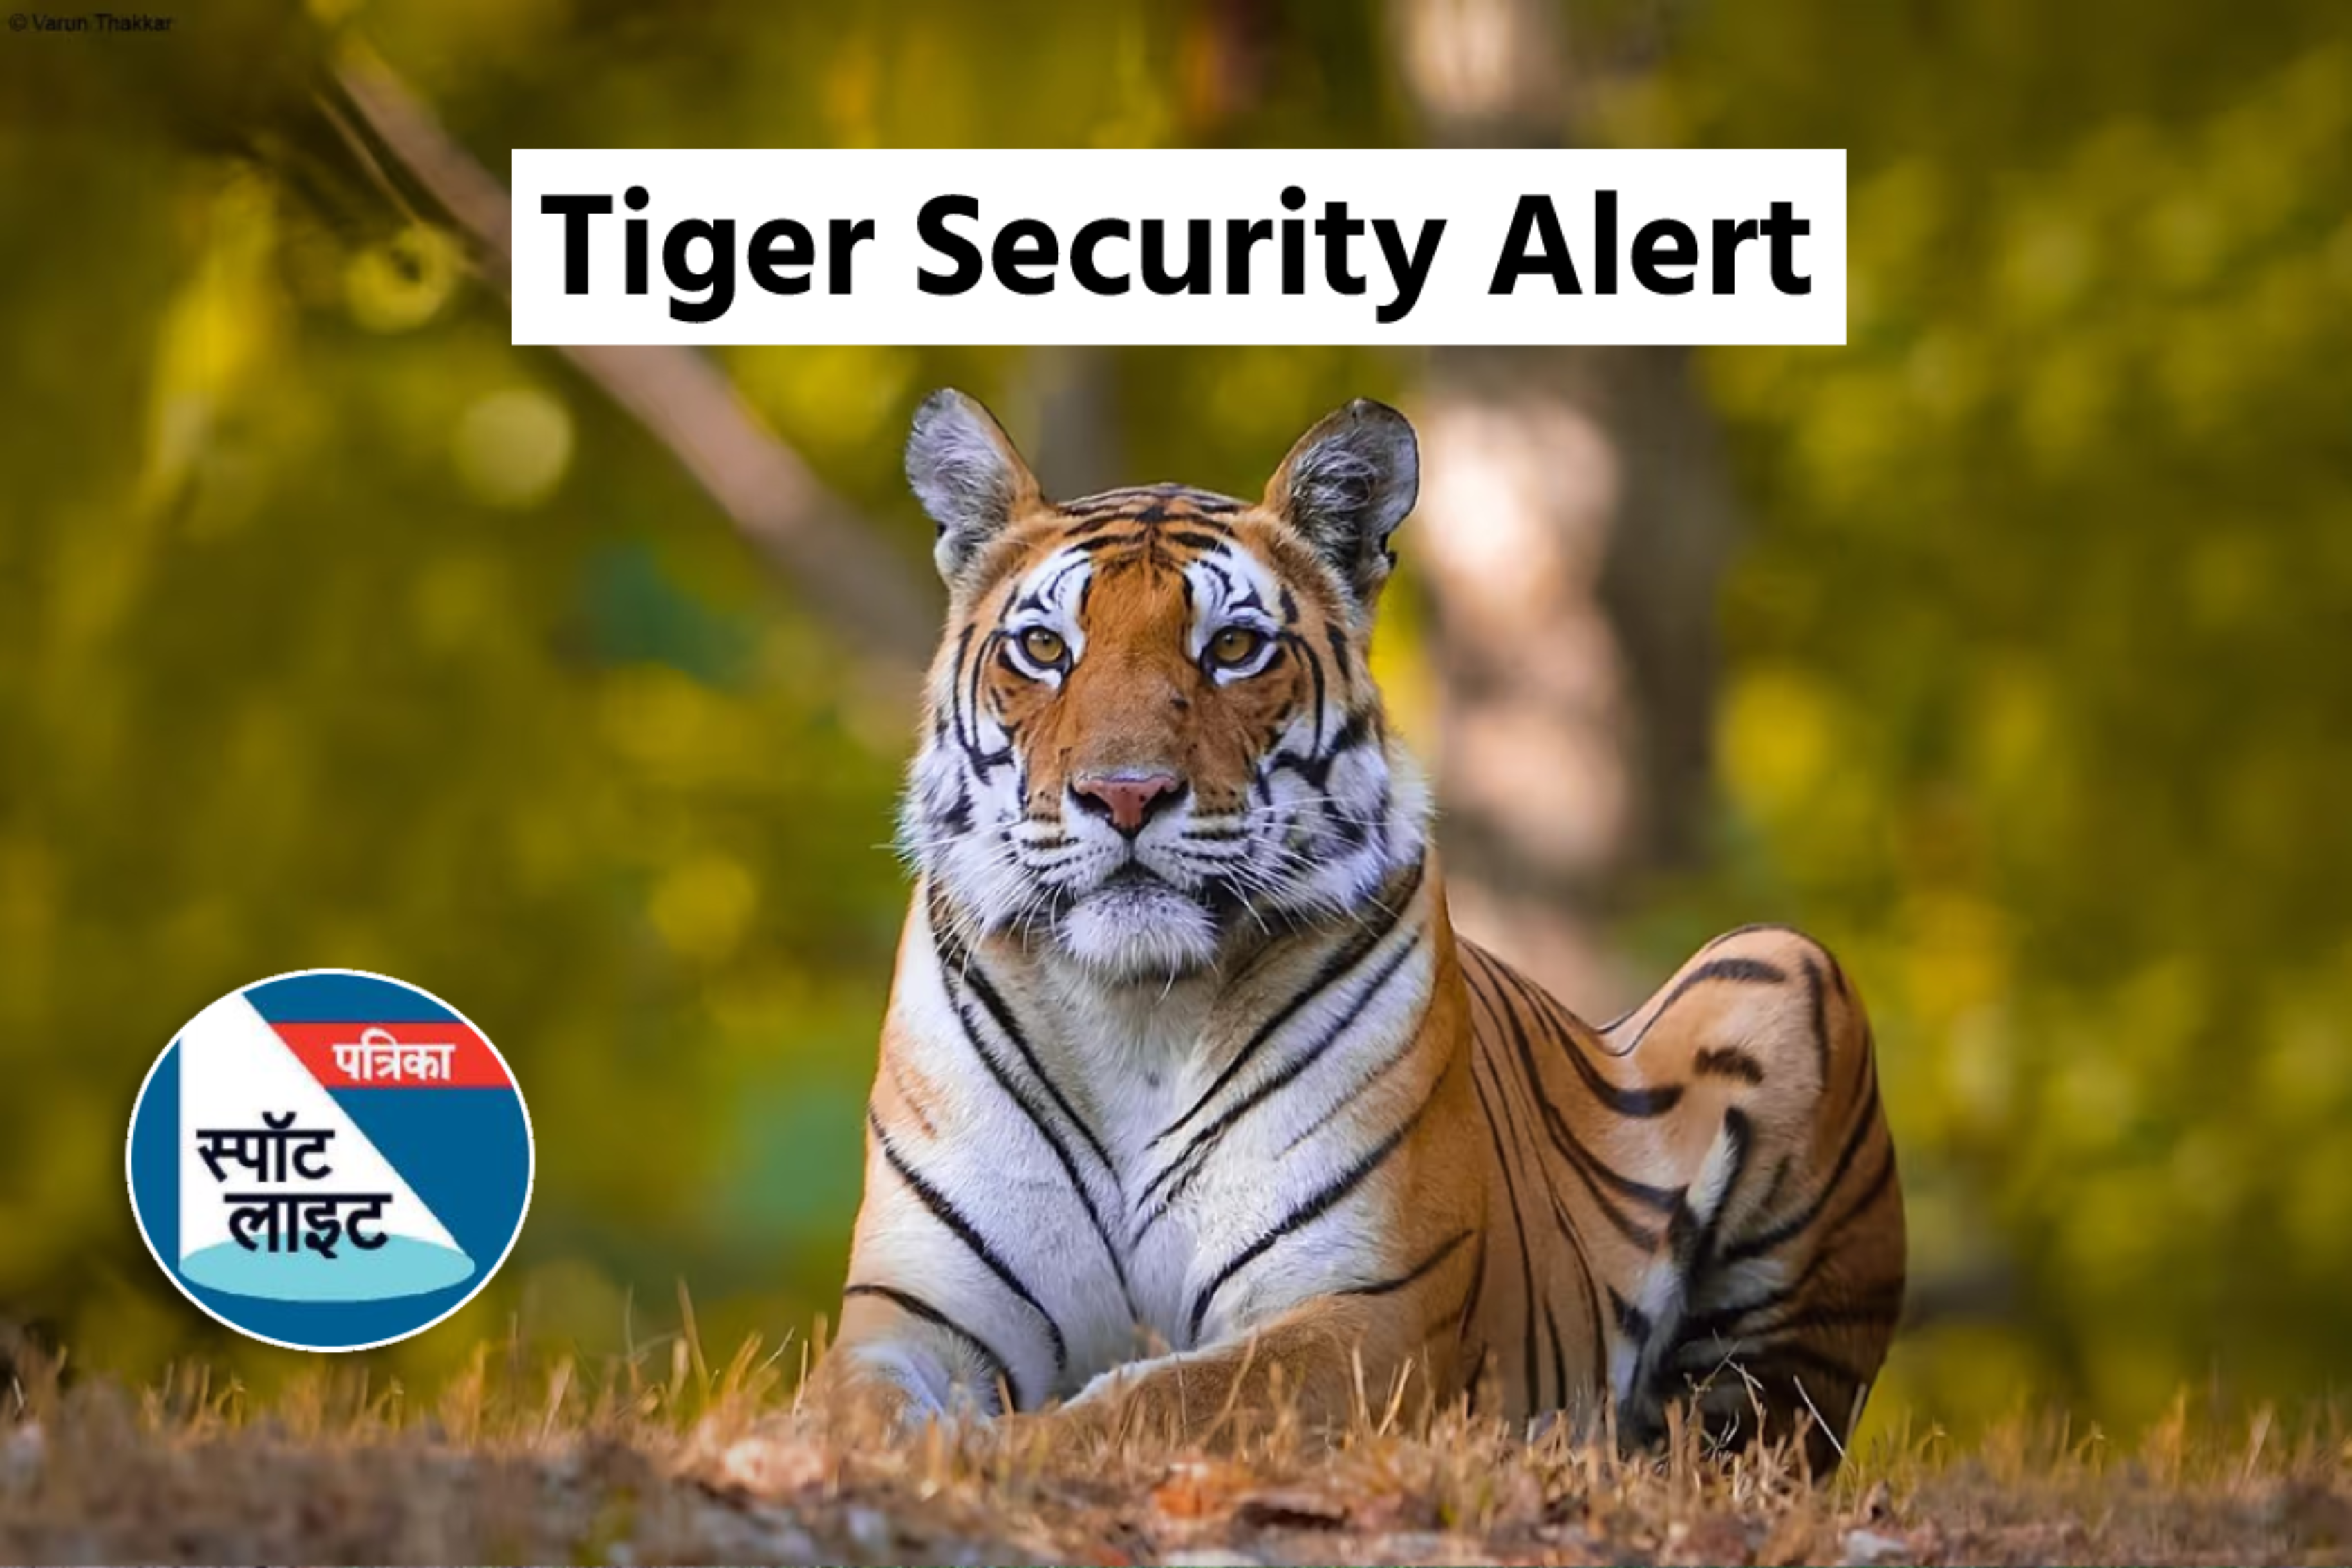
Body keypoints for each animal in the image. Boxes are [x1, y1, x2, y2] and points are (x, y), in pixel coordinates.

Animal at [804, 389, 1905, 1471]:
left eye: (1232, 649)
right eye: (1043, 649)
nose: (1126, 794)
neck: (1137, 1012)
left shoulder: (1362, 1317)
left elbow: (1150, 1405)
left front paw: (991, 1452)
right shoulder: (912, 1314)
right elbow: (853, 1416)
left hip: (1778, 968)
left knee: (1747, 1434)